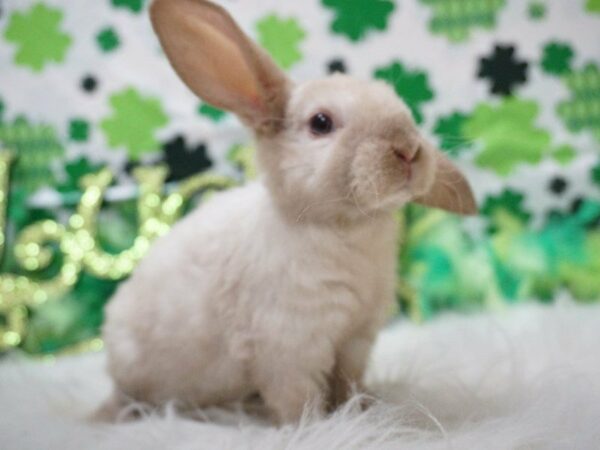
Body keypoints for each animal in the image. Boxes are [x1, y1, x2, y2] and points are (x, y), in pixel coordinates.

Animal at [96, 0, 476, 426]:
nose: (408, 150)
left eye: (400, 105)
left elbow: (350, 384)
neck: (347, 229)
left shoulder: (355, 341)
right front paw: (314, 428)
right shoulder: (290, 349)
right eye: (321, 123)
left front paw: (362, 413)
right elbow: (298, 399)